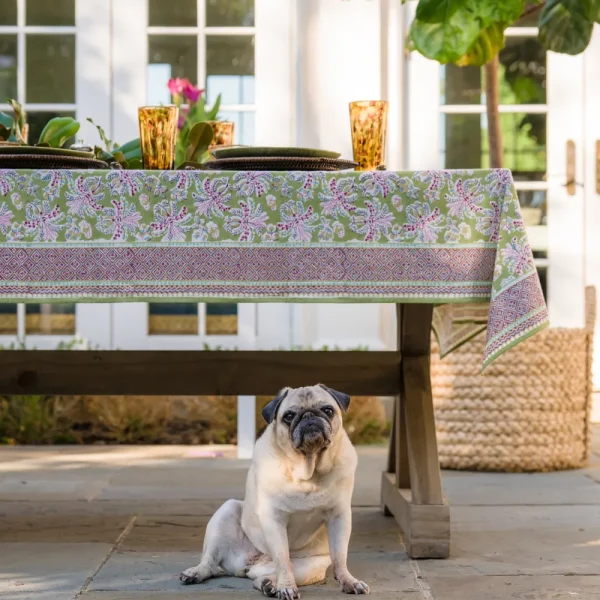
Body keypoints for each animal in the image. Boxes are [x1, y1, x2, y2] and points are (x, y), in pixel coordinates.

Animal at [180, 386, 368, 596]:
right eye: (289, 416)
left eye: (328, 410)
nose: (308, 415)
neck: (307, 472)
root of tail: (250, 565)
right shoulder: (273, 518)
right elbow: (282, 558)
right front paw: (286, 587)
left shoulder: (339, 516)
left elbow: (340, 556)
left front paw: (348, 580)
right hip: (225, 513)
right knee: (211, 562)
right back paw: (196, 573)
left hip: (311, 567)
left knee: (265, 577)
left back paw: (268, 584)